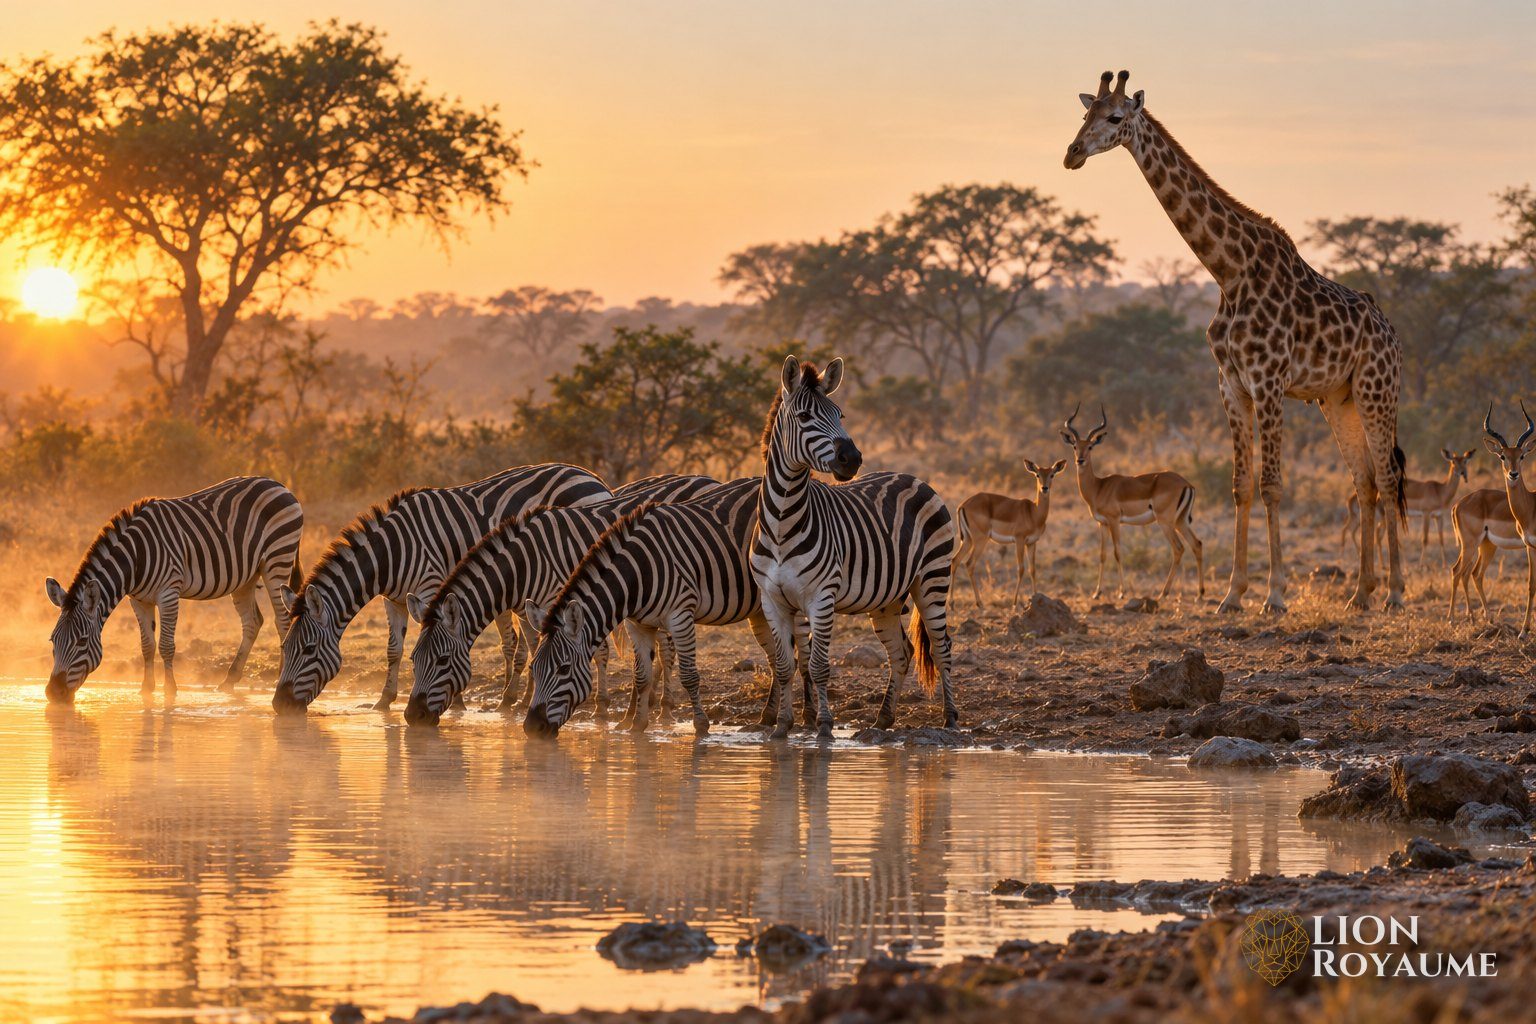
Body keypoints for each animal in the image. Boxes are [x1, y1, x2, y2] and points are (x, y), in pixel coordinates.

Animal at [1062, 70, 1406, 613]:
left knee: (1389, 478)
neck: (1228, 271)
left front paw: (1276, 595)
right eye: (1084, 113)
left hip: (1378, 390)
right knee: (1365, 480)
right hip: (1339, 398)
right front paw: (1232, 594)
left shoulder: (1269, 381)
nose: (1072, 153)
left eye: (1115, 117)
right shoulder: (1230, 383)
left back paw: (1393, 592)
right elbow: (1241, 486)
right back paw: (1360, 593)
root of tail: (1391, 333)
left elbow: (1271, 485)